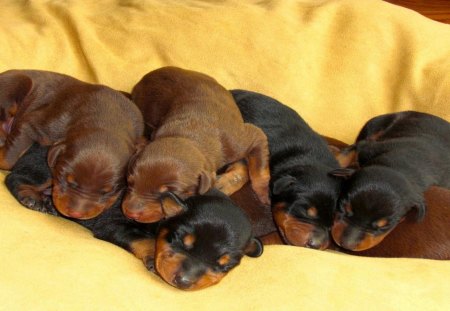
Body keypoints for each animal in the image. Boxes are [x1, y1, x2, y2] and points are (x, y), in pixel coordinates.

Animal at [0, 70, 144, 221]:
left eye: (106, 192)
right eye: (67, 181)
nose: (76, 214)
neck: (107, 120)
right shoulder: (34, 124)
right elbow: (10, 158)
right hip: (18, 83)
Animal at [5, 144, 262, 292]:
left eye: (225, 265)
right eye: (178, 241)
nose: (184, 282)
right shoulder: (114, 223)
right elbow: (142, 239)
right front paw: (151, 256)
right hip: (48, 172)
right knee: (16, 178)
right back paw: (32, 198)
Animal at [124, 67, 270, 224]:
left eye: (168, 193)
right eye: (130, 181)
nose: (130, 214)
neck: (188, 135)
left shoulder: (242, 140)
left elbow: (259, 170)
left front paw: (263, 193)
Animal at [330, 111, 450, 252]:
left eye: (383, 226)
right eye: (344, 208)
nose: (346, 245)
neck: (400, 165)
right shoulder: (367, 147)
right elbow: (347, 153)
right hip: (375, 124)